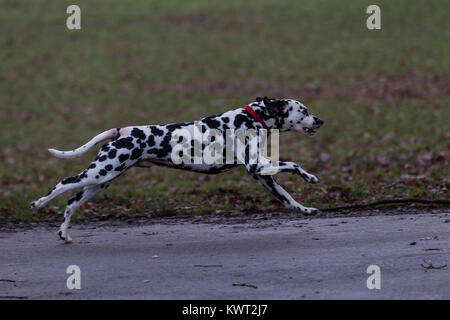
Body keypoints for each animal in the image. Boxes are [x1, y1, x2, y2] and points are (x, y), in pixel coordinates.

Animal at [30, 96, 324, 241]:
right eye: (304, 110)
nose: (320, 120)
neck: (249, 119)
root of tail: (123, 130)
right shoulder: (258, 165)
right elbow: (294, 164)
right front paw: (309, 176)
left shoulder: (262, 174)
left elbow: (288, 198)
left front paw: (306, 209)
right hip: (98, 173)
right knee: (63, 183)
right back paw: (39, 203)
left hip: (100, 181)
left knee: (71, 202)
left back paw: (64, 233)